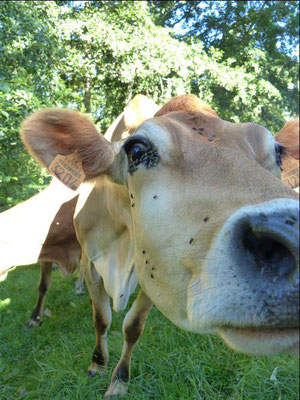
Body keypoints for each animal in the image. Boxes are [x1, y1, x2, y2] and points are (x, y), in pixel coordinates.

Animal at [20, 94, 298, 396]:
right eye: (136, 149)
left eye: (279, 153)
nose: (292, 234)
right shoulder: (90, 260)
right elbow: (101, 318)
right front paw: (97, 363)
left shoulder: (153, 270)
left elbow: (133, 326)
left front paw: (119, 380)